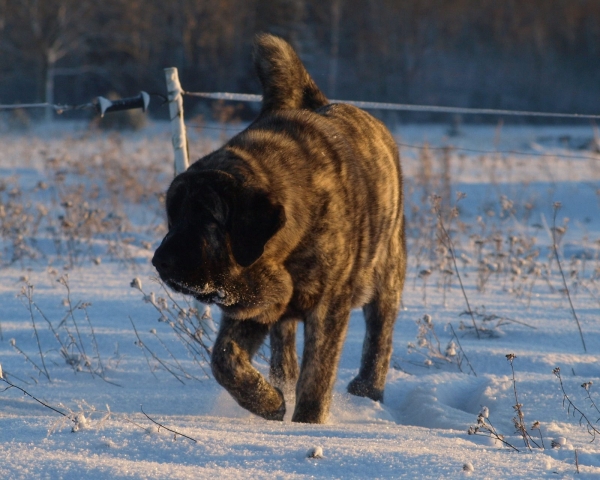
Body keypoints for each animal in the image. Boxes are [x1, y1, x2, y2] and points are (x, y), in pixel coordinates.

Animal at [152, 34, 408, 424]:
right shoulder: (250, 305)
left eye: (207, 217)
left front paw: (307, 424)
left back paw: (368, 390)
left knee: (380, 336)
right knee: (283, 343)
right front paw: (269, 402)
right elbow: (224, 360)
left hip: (386, 274)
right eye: (174, 217)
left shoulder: (329, 306)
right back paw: (282, 381)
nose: (159, 261)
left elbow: (317, 375)